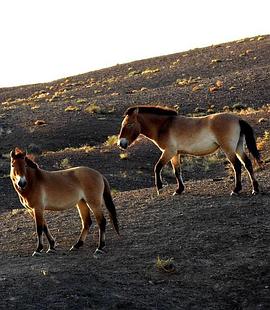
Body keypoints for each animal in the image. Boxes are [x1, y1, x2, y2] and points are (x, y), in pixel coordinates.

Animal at [117, 105, 262, 195]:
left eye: (129, 124)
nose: (120, 143)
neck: (164, 126)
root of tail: (238, 119)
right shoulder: (175, 154)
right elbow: (177, 171)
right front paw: (179, 190)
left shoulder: (168, 152)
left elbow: (157, 167)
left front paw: (159, 188)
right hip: (238, 147)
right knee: (247, 164)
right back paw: (255, 189)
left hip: (229, 149)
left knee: (237, 166)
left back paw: (236, 190)